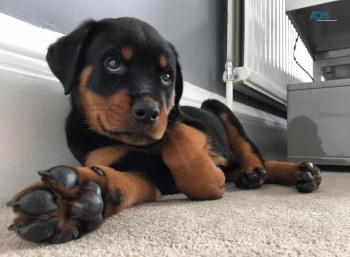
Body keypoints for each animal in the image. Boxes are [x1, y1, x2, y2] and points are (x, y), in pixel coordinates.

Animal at [6, 17, 322, 242]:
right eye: (112, 63)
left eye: (167, 76)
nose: (149, 111)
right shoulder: (132, 168)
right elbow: (123, 181)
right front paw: (73, 201)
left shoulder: (194, 128)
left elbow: (175, 130)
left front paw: (207, 179)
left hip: (218, 106)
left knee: (255, 155)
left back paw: (282, 171)